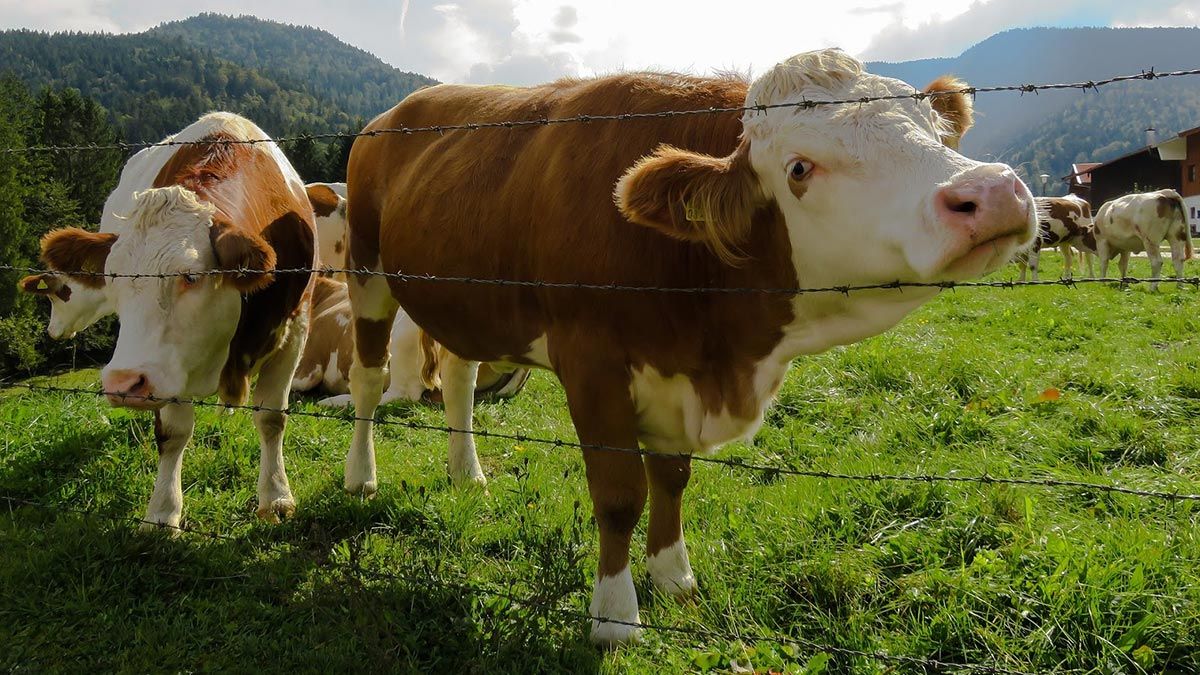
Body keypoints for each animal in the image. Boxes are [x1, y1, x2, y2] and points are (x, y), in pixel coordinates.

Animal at [40, 110, 316, 528]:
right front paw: (162, 511)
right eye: (113, 277)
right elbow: (172, 431)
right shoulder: (166, 363)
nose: (123, 383)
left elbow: (271, 418)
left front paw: (276, 497)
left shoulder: (294, 330)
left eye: (191, 276)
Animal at [343, 48, 1036, 638]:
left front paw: (673, 576)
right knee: (368, 379)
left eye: (938, 133)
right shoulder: (591, 360)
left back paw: (468, 474)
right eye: (799, 168)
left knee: (459, 376)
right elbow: (619, 494)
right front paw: (615, 616)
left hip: (464, 297)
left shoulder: (673, 372)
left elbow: (672, 478)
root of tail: (396, 112)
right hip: (365, 270)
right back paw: (360, 477)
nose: (994, 191)